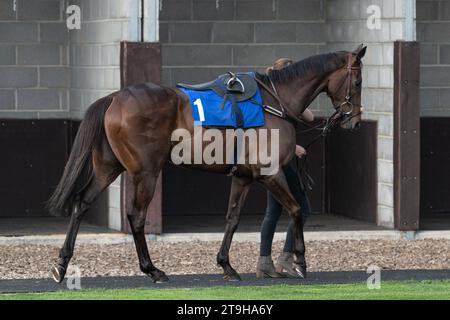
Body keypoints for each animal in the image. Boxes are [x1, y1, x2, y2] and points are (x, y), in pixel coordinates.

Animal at [47, 45, 368, 282]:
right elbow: (296, 209)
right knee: (136, 217)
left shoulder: (243, 177)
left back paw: (61, 264)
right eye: (358, 81)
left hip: (108, 167)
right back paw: (153, 270)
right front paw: (300, 260)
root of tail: (115, 97)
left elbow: (232, 218)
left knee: (81, 202)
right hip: (146, 173)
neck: (274, 102)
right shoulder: (270, 174)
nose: (354, 120)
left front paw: (226, 265)